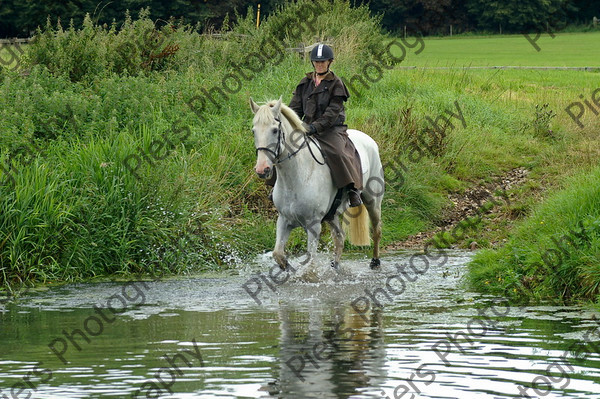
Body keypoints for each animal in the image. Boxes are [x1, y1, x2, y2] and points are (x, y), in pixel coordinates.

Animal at [250, 98, 384, 272]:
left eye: (274, 130)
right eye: (254, 131)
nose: (262, 169)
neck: (297, 176)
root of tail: (369, 139)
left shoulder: (313, 225)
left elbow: (310, 261)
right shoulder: (284, 220)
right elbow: (278, 254)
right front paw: (289, 268)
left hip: (372, 201)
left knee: (376, 230)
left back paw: (375, 262)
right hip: (332, 215)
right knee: (340, 237)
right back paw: (335, 266)